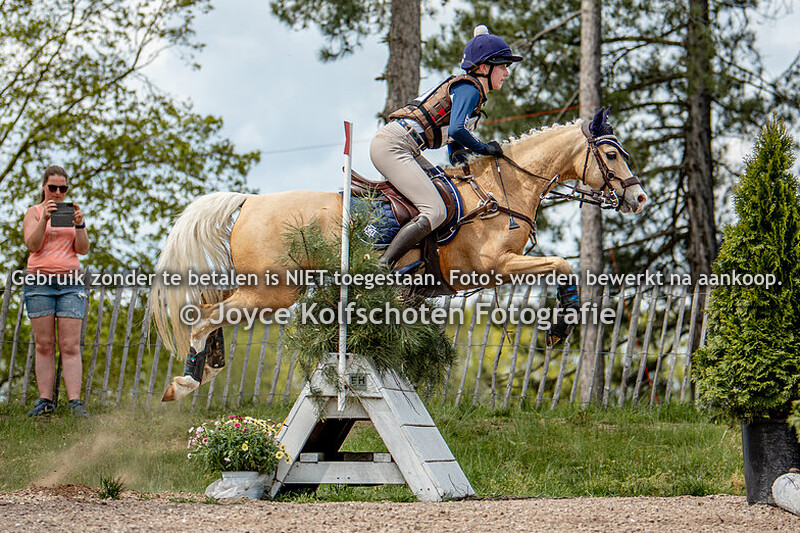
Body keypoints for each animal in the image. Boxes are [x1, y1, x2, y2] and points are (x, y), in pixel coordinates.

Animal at [151, 108, 647, 402]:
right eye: (610, 155)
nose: (640, 199)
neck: (502, 187)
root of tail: (248, 202)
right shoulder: (492, 268)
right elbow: (562, 265)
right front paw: (561, 327)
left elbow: (560, 266)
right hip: (273, 291)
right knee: (205, 316)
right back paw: (189, 379)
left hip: (262, 290)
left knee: (212, 310)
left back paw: (204, 368)